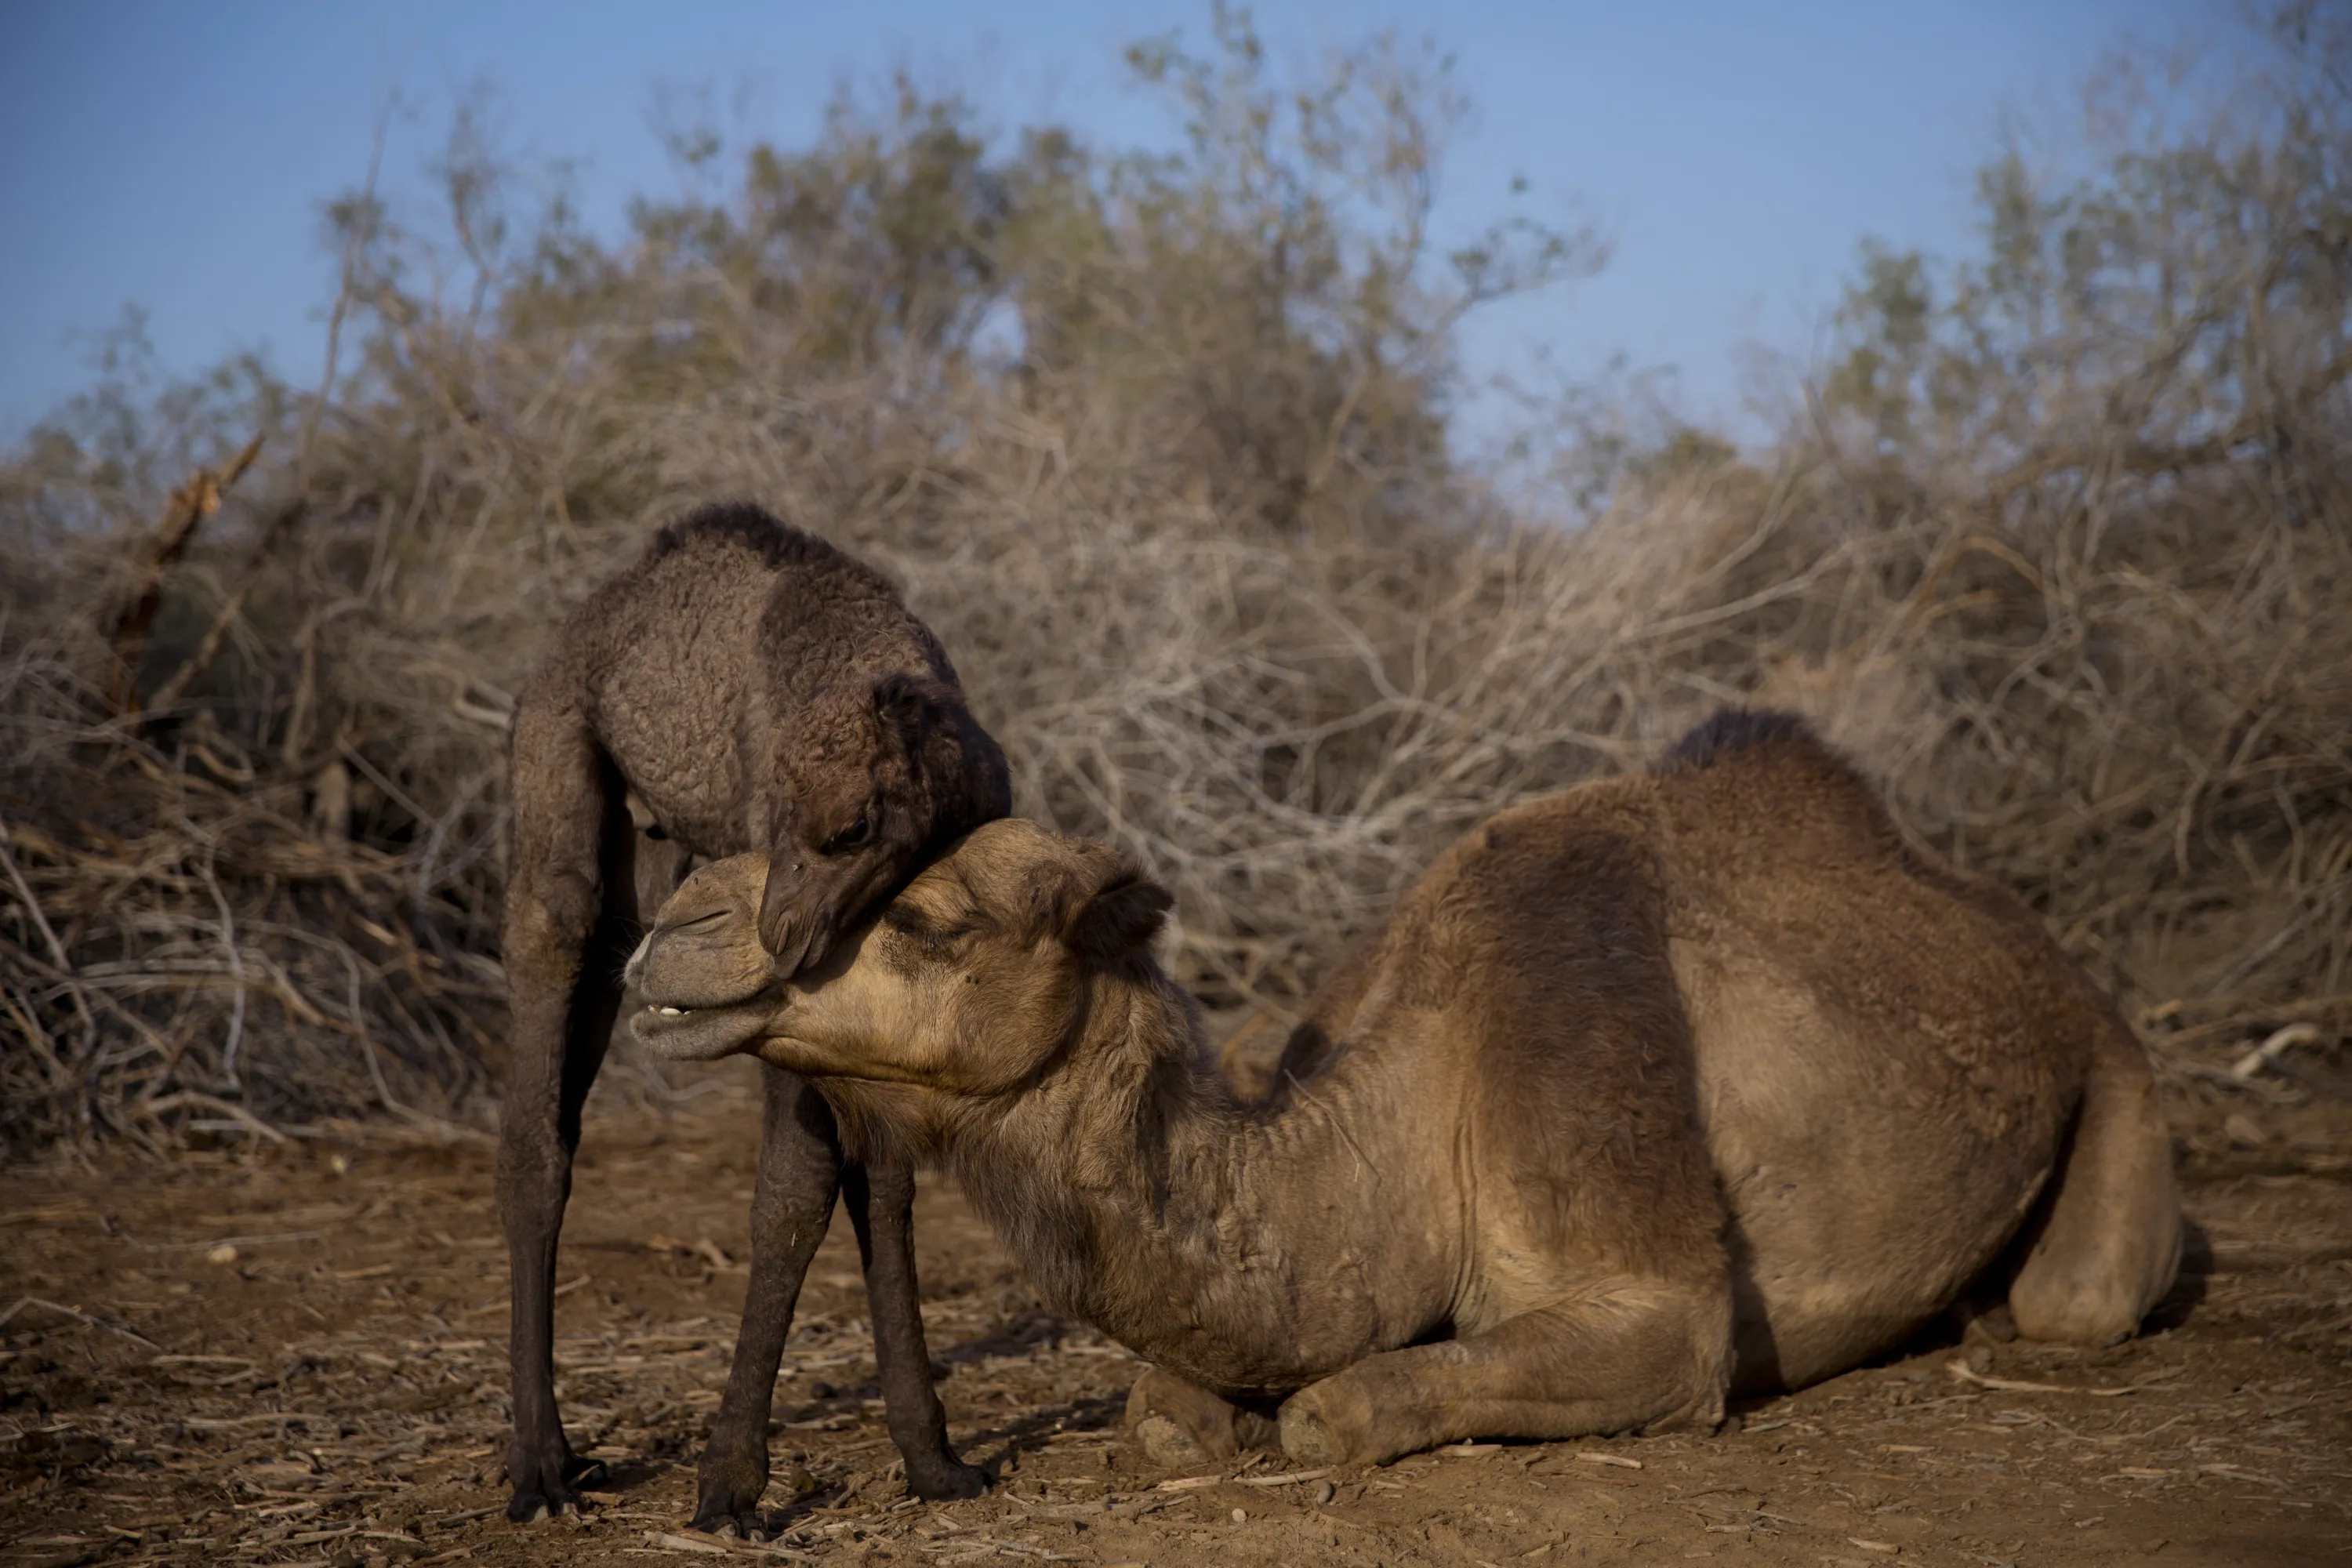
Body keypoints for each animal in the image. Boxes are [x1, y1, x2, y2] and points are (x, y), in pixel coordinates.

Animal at [616, 710, 2173, 1476]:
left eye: (924, 917)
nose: (668, 933)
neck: (1419, 1118)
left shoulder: (1657, 1297)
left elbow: (1341, 1405)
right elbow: (1169, 1407)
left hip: (2115, 1070)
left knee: (2082, 1296)